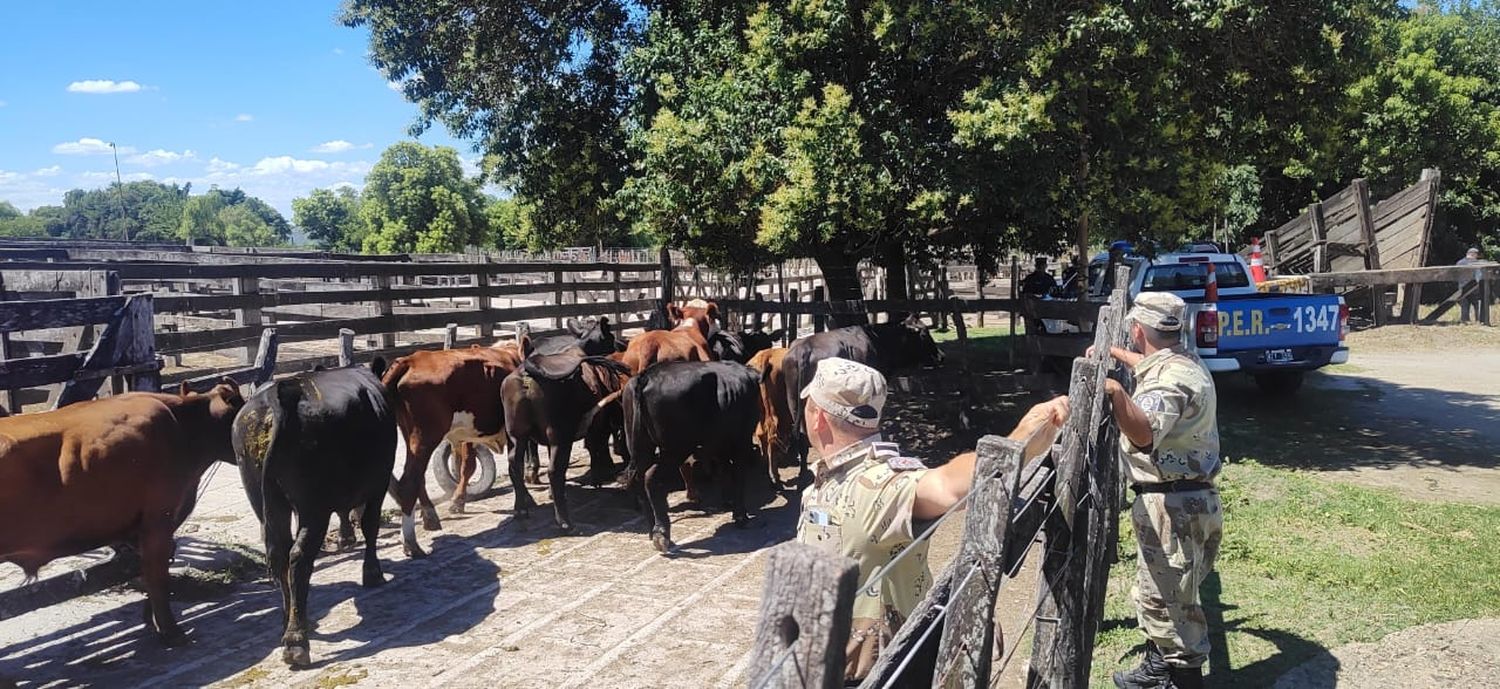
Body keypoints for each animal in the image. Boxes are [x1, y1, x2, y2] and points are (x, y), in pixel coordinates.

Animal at [229, 364, 399, 666]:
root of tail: (280, 396)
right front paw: (373, 572)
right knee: (298, 556)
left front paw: (345, 538)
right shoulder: (378, 484)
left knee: (281, 553)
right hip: (313, 507)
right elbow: (370, 525)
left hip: (264, 501)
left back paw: (291, 621)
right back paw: (297, 641)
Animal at [621, 364, 762, 552]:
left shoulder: (720, 443)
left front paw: (729, 501)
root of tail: (646, 376)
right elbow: (738, 474)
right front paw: (741, 516)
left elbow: (724, 469)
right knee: (651, 478)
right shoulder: (741, 440)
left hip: (641, 447)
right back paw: (661, 534)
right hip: (676, 449)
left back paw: (653, 532)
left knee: (639, 481)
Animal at [744, 345, 792, 492]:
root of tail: (766, 355)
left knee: (762, 434)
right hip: (779, 410)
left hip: (761, 409)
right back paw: (775, 477)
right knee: (774, 437)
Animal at [780, 315, 942, 477]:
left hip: (794, 402)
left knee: (802, 437)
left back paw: (803, 474)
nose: (940, 356)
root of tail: (805, 348)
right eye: (924, 333)